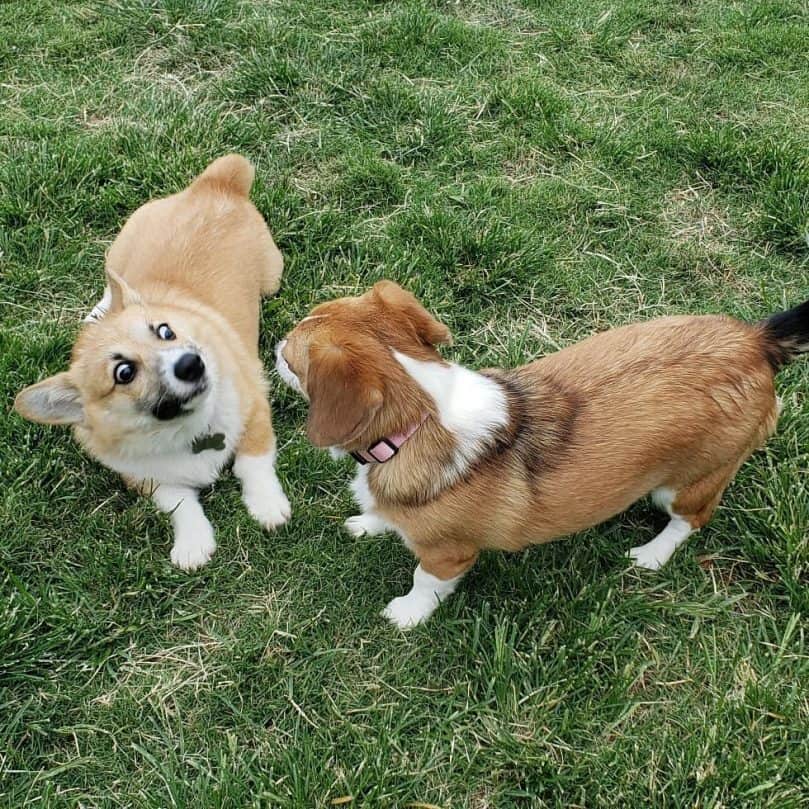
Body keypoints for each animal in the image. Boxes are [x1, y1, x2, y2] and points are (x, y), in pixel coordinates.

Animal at [15, 155, 290, 572]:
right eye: (124, 373)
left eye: (164, 331)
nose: (193, 364)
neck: (183, 428)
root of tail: (214, 186)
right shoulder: (147, 479)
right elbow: (180, 504)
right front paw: (193, 545)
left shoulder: (256, 408)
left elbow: (252, 463)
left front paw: (268, 507)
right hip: (119, 250)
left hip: (271, 279)